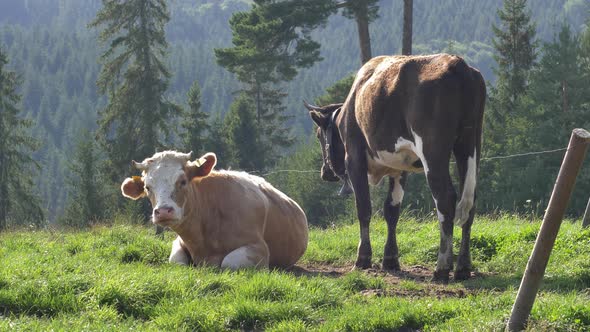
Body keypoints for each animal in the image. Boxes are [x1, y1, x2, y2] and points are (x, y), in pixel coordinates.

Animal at [308, 53, 488, 282]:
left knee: (445, 199)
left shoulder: (354, 159)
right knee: (470, 203)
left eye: (318, 135)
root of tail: (457, 63)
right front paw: (390, 259)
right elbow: (392, 211)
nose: (325, 172)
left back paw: (441, 267)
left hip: (433, 153)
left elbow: (364, 207)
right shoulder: (400, 167)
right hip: (470, 145)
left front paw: (363, 258)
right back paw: (463, 267)